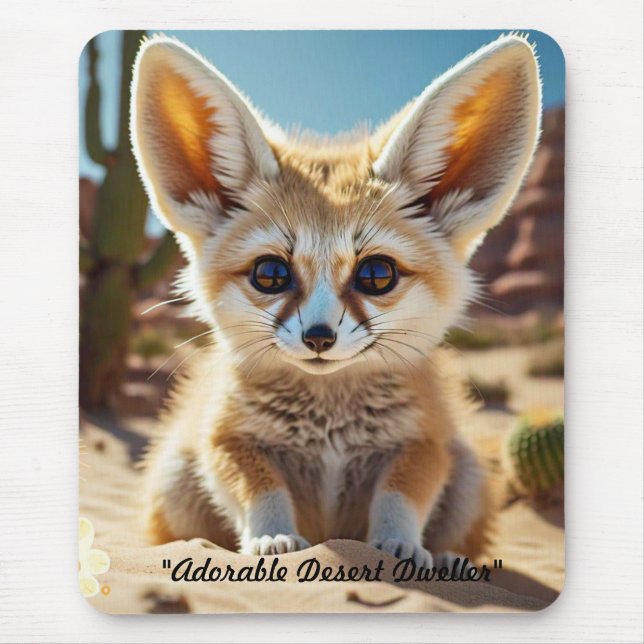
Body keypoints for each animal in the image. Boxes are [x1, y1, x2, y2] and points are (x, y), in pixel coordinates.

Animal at [130, 33, 541, 567]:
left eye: (376, 275)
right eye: (270, 274)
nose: (319, 337)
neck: (328, 424)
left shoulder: (424, 442)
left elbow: (401, 495)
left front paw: (400, 545)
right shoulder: (225, 438)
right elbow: (259, 489)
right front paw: (273, 539)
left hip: (469, 472)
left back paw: (453, 559)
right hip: (176, 473)